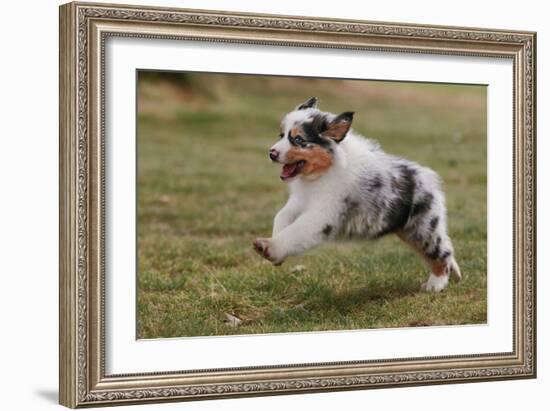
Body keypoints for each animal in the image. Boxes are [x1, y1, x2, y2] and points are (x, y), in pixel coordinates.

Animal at [254, 97, 462, 292]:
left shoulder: (321, 215)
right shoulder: (299, 201)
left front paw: (268, 247)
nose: (271, 153)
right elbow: (281, 216)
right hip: (408, 230)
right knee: (446, 246)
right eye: (281, 135)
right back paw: (454, 274)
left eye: (298, 140)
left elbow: (295, 231)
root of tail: (429, 177)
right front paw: (276, 251)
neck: (321, 174)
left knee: (440, 253)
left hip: (422, 228)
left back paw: (436, 284)